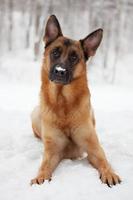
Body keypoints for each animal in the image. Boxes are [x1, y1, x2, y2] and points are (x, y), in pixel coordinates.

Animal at [30, 14, 121, 187]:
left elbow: (104, 161)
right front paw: (41, 176)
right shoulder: (53, 151)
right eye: (55, 53)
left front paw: (110, 173)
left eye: (73, 57)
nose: (60, 71)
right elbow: (44, 165)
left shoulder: (94, 149)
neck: (63, 103)